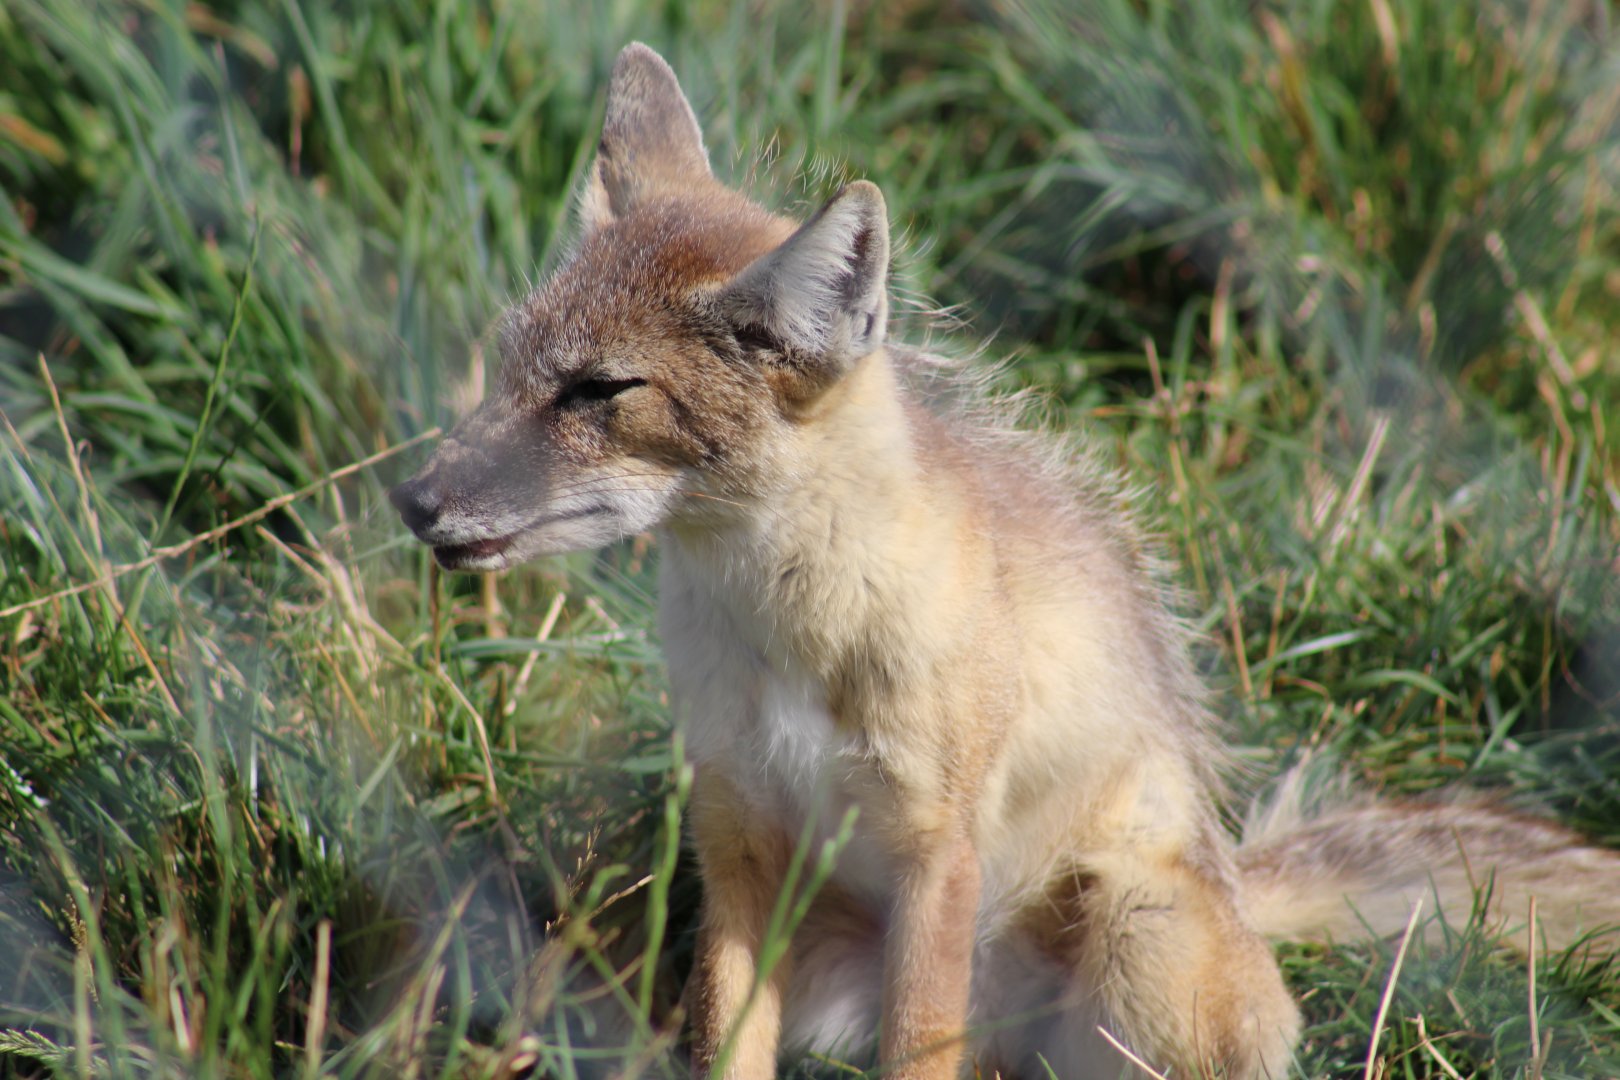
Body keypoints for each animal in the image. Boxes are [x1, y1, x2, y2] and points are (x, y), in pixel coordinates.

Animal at [391, 43, 1620, 1080]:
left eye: (602, 391)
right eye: (508, 362)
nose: (412, 500)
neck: (791, 639)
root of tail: (1233, 877)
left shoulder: (935, 851)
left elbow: (915, 1050)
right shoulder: (737, 839)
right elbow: (723, 1047)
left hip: (1131, 935)